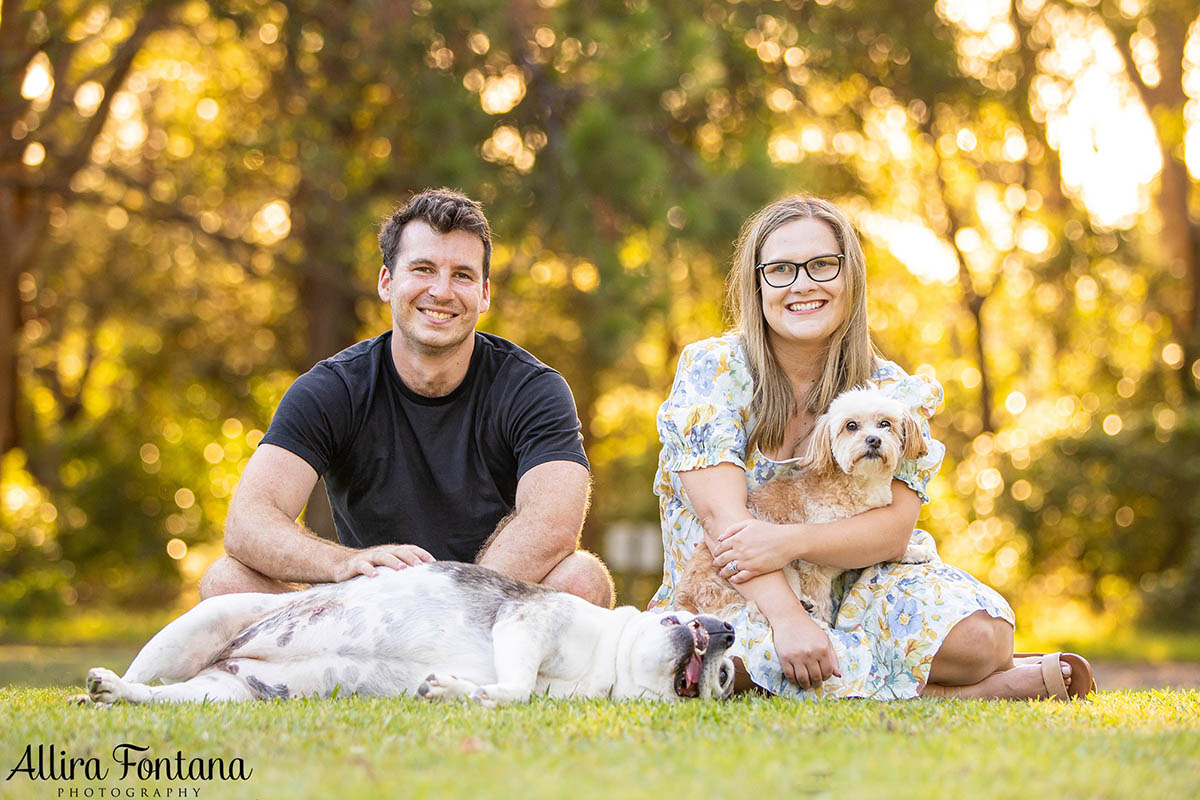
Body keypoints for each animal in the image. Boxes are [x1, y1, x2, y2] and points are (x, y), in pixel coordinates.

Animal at [676, 386, 936, 623]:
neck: (857, 484)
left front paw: (914, 551)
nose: (873, 440)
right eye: (851, 426)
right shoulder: (813, 570)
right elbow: (821, 603)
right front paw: (823, 623)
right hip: (777, 572)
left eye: (885, 424)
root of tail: (683, 600)